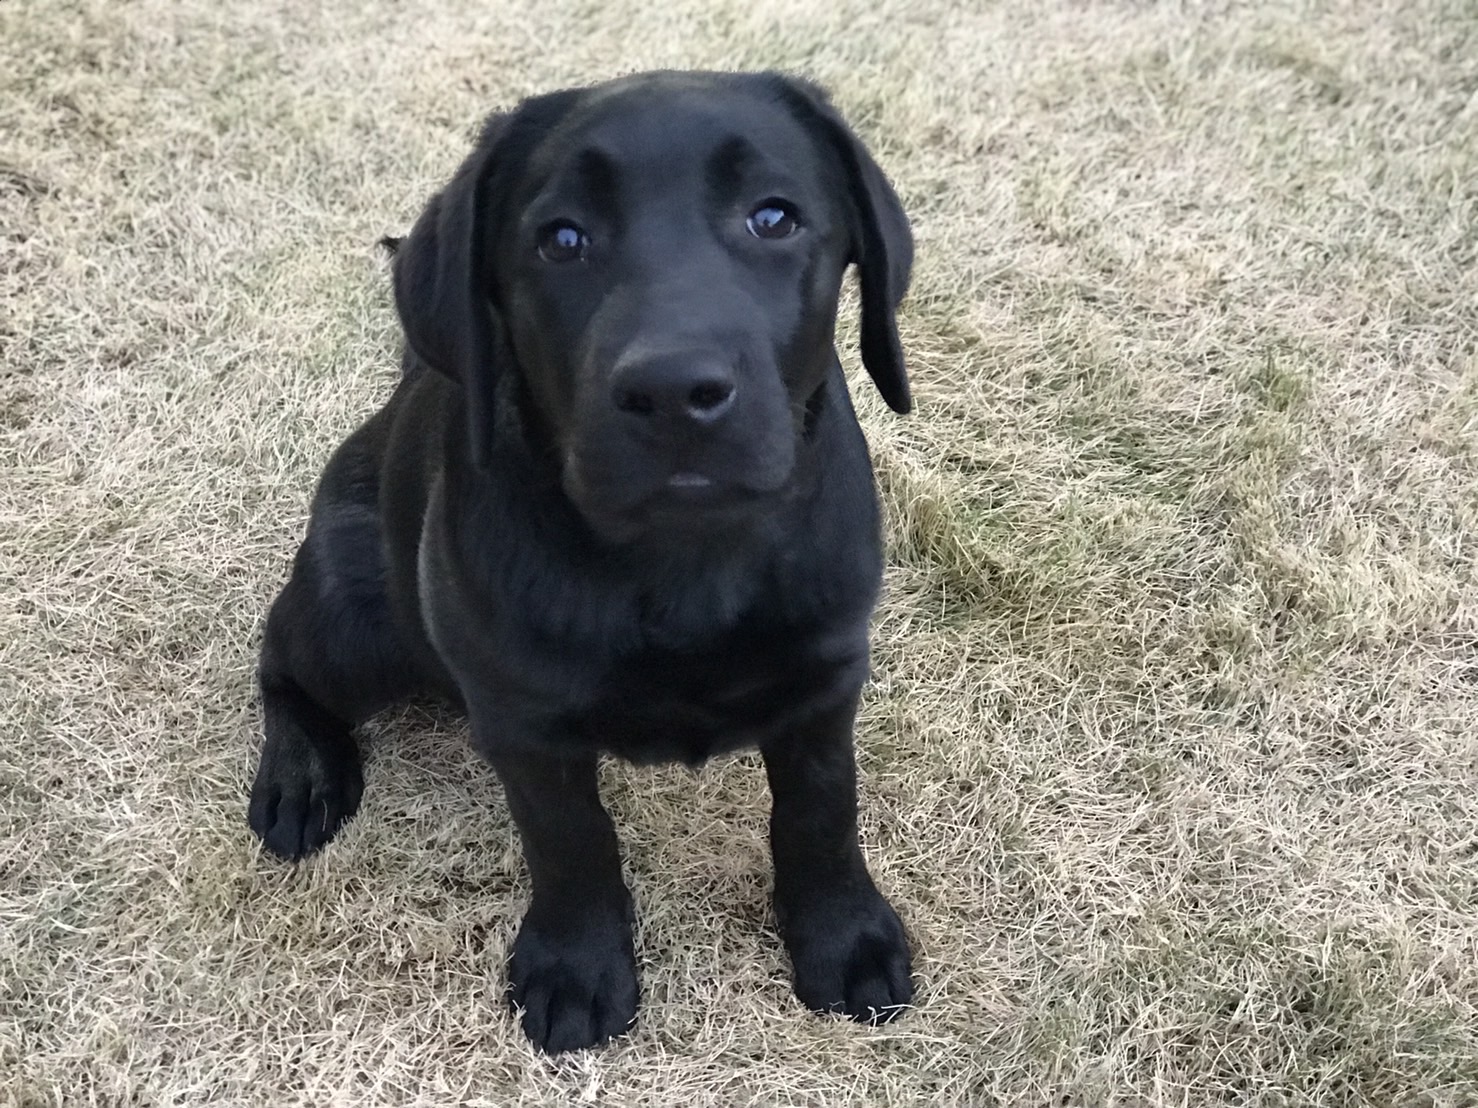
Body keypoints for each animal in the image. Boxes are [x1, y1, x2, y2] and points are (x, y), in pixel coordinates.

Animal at [249, 69, 916, 1057]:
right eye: (561, 240)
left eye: (774, 218)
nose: (674, 391)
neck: (681, 560)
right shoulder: (525, 725)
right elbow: (570, 840)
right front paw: (576, 966)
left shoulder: (826, 684)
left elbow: (821, 810)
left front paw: (847, 936)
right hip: (360, 624)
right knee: (280, 657)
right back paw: (300, 777)